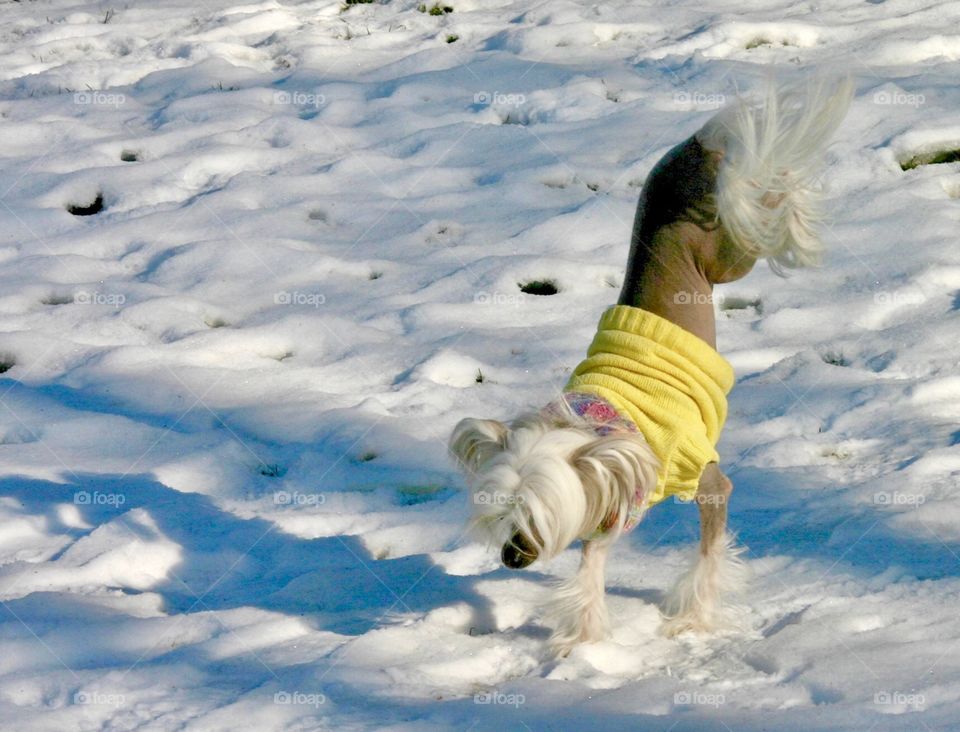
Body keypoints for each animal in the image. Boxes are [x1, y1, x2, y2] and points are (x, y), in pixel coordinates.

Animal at [448, 80, 848, 656]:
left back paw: (793, 201)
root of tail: (698, 147)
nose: (509, 558)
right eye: (501, 514)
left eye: (537, 516)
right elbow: (591, 571)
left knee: (765, 202)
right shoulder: (607, 502)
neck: (596, 422)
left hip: (731, 249)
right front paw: (585, 642)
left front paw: (693, 622)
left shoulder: (703, 477)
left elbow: (709, 552)